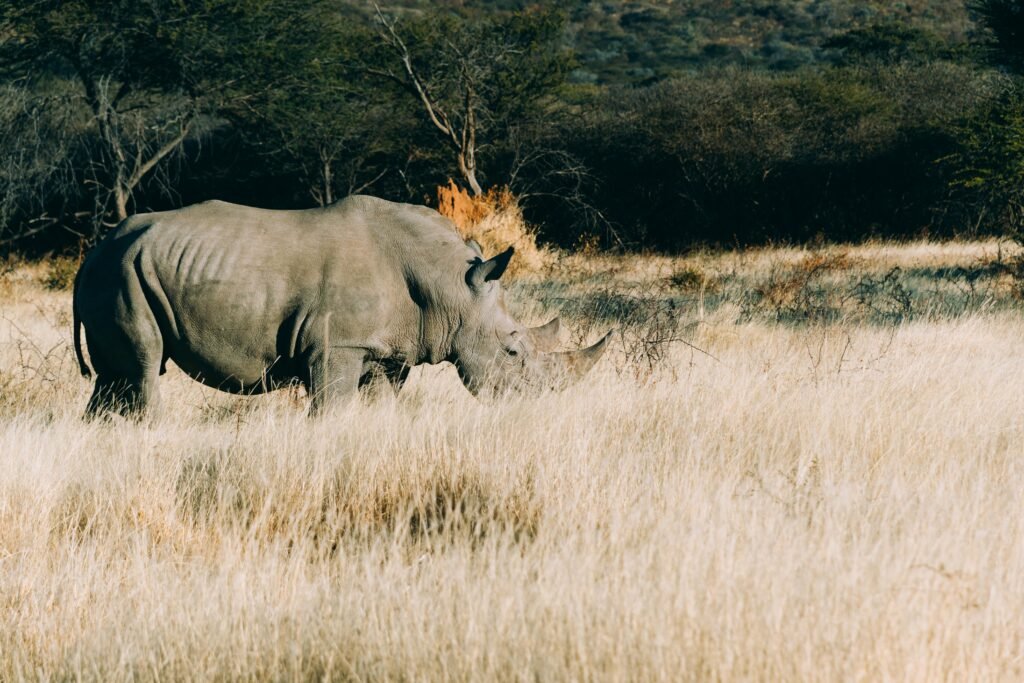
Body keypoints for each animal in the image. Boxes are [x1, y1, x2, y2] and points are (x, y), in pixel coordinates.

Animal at [72, 195, 610, 417]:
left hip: (116, 271)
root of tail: (93, 252)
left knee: (112, 378)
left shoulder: (388, 352)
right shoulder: (337, 348)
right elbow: (332, 408)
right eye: (513, 353)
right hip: (122, 275)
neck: (450, 288)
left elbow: (379, 408)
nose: (539, 409)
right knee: (142, 367)